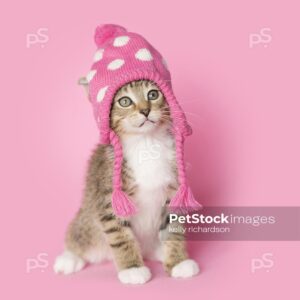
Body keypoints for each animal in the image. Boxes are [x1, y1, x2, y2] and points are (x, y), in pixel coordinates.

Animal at [54, 79, 199, 284]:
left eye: (153, 94)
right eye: (125, 101)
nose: (145, 110)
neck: (146, 143)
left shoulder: (174, 191)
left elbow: (174, 229)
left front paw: (179, 261)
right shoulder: (109, 199)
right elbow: (120, 236)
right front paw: (133, 269)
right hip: (87, 222)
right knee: (79, 234)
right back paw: (69, 258)